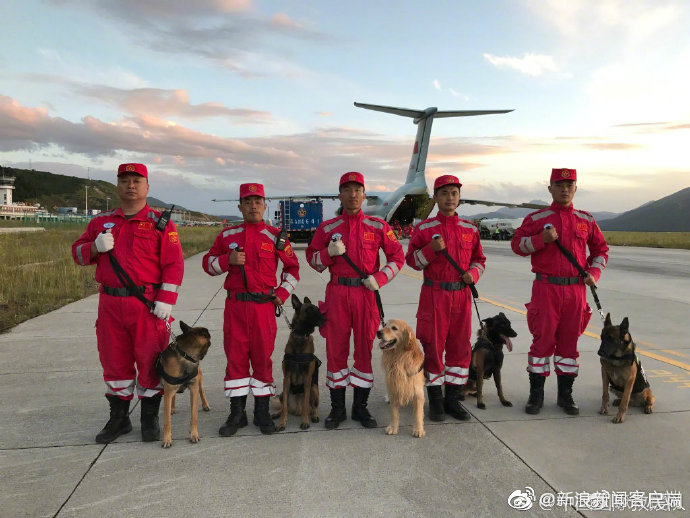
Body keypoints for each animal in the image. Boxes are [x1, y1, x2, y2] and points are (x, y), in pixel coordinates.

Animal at [155, 318, 211, 448]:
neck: (185, 356)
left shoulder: (194, 389)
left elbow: (194, 416)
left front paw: (194, 434)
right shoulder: (168, 391)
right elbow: (167, 421)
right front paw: (167, 438)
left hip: (199, 378)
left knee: (202, 390)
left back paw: (205, 404)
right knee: (173, 396)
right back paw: (172, 407)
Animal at [272, 294, 322, 432]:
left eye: (317, 308)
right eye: (309, 310)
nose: (324, 316)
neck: (300, 336)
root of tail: (296, 410)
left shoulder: (308, 379)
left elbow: (306, 403)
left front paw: (305, 421)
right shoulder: (287, 377)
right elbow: (284, 408)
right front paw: (282, 423)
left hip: (314, 388)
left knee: (313, 407)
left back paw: (314, 415)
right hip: (282, 393)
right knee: (284, 406)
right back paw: (277, 414)